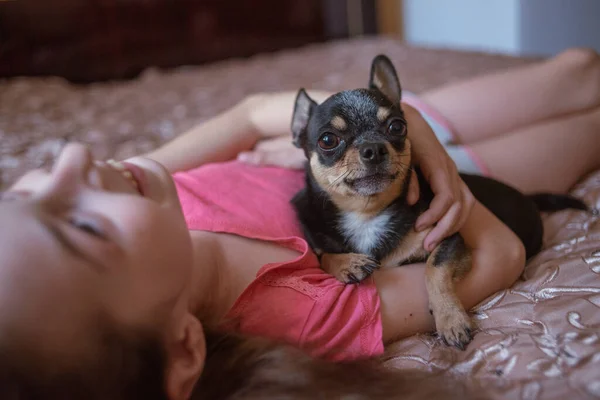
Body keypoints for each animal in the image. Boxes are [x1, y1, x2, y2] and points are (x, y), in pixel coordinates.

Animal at [290, 54, 592, 348]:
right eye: (328, 140)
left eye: (397, 126)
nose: (373, 148)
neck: (367, 214)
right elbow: (321, 255)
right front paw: (346, 263)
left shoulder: (449, 241)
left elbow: (434, 269)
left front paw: (450, 318)